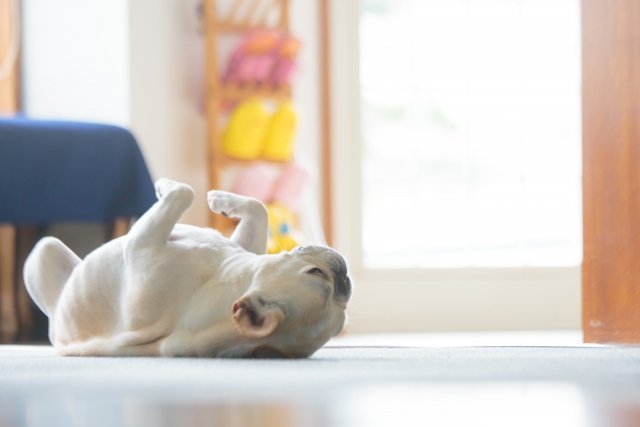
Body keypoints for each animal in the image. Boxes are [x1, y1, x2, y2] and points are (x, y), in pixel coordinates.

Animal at [25, 179, 352, 360]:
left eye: (316, 273)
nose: (344, 279)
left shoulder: (140, 245)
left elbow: (184, 192)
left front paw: (166, 186)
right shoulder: (243, 247)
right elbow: (259, 208)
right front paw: (223, 201)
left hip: (42, 252)